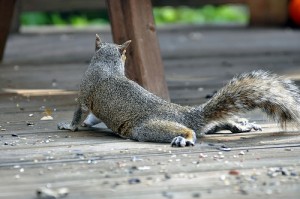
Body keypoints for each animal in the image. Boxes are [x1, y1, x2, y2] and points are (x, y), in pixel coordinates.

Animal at [57, 33, 300, 146]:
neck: (106, 66)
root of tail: (187, 114)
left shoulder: (85, 95)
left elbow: (80, 113)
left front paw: (70, 126)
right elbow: (93, 118)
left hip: (147, 128)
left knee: (190, 131)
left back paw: (185, 138)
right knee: (212, 126)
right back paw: (238, 125)